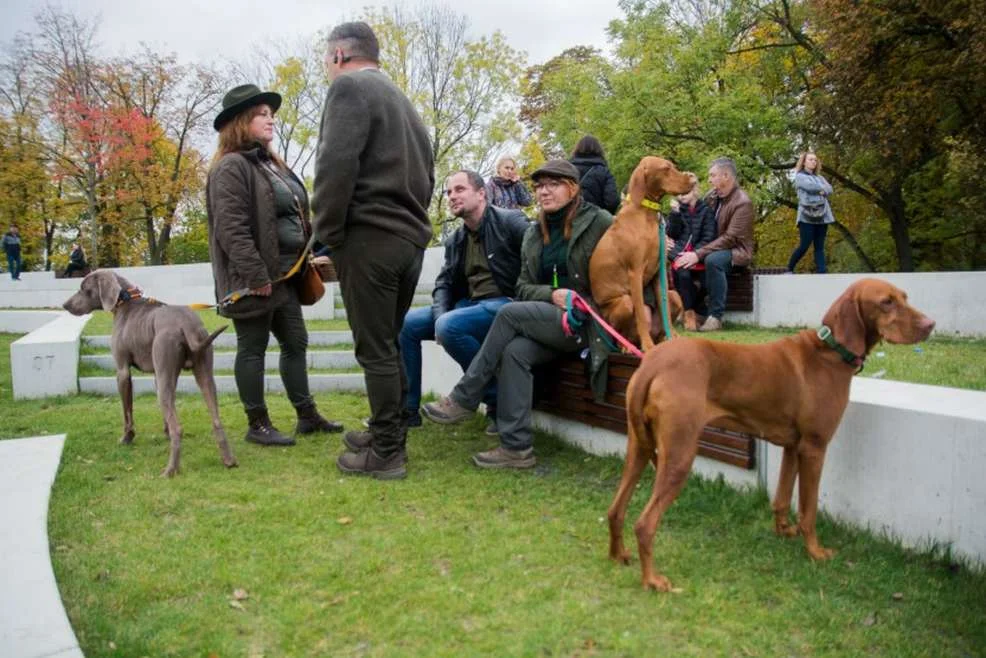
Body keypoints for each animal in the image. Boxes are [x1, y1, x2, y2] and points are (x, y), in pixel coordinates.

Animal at [63, 268, 236, 476]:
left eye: (83, 288)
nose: (65, 305)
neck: (125, 302)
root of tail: (187, 324)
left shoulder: (122, 371)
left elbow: (127, 411)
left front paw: (127, 438)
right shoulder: (158, 374)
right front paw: (165, 432)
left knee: (178, 428)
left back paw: (170, 470)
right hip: (203, 372)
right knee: (216, 419)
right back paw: (229, 460)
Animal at [592, 155, 692, 348]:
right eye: (666, 168)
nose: (693, 178)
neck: (647, 214)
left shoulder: (659, 273)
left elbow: (665, 311)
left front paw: (673, 338)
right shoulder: (635, 272)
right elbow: (640, 314)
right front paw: (647, 346)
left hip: (675, 295)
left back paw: (661, 339)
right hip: (624, 302)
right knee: (621, 331)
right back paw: (627, 346)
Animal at [604, 276, 936, 588]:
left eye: (904, 297)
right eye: (886, 302)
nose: (930, 325)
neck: (830, 351)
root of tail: (653, 363)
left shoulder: (792, 446)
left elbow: (781, 497)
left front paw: (783, 531)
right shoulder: (814, 447)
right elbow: (809, 509)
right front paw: (815, 552)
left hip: (638, 448)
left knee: (615, 510)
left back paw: (618, 555)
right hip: (679, 455)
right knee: (644, 524)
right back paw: (652, 581)